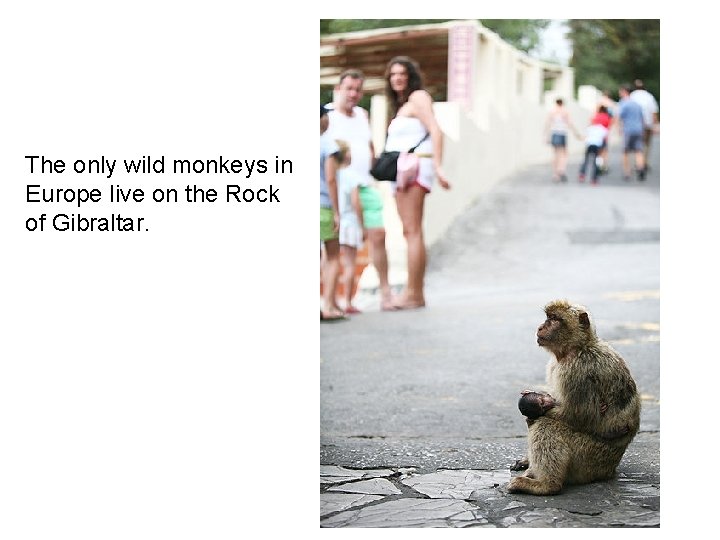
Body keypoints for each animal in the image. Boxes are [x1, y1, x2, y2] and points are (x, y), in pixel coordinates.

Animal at [506, 302, 640, 496]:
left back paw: (546, 484)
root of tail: (610, 469)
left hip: (590, 459)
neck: (579, 347)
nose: (540, 327)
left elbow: (577, 416)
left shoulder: (576, 371)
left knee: (546, 425)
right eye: (548, 317)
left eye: (554, 319)